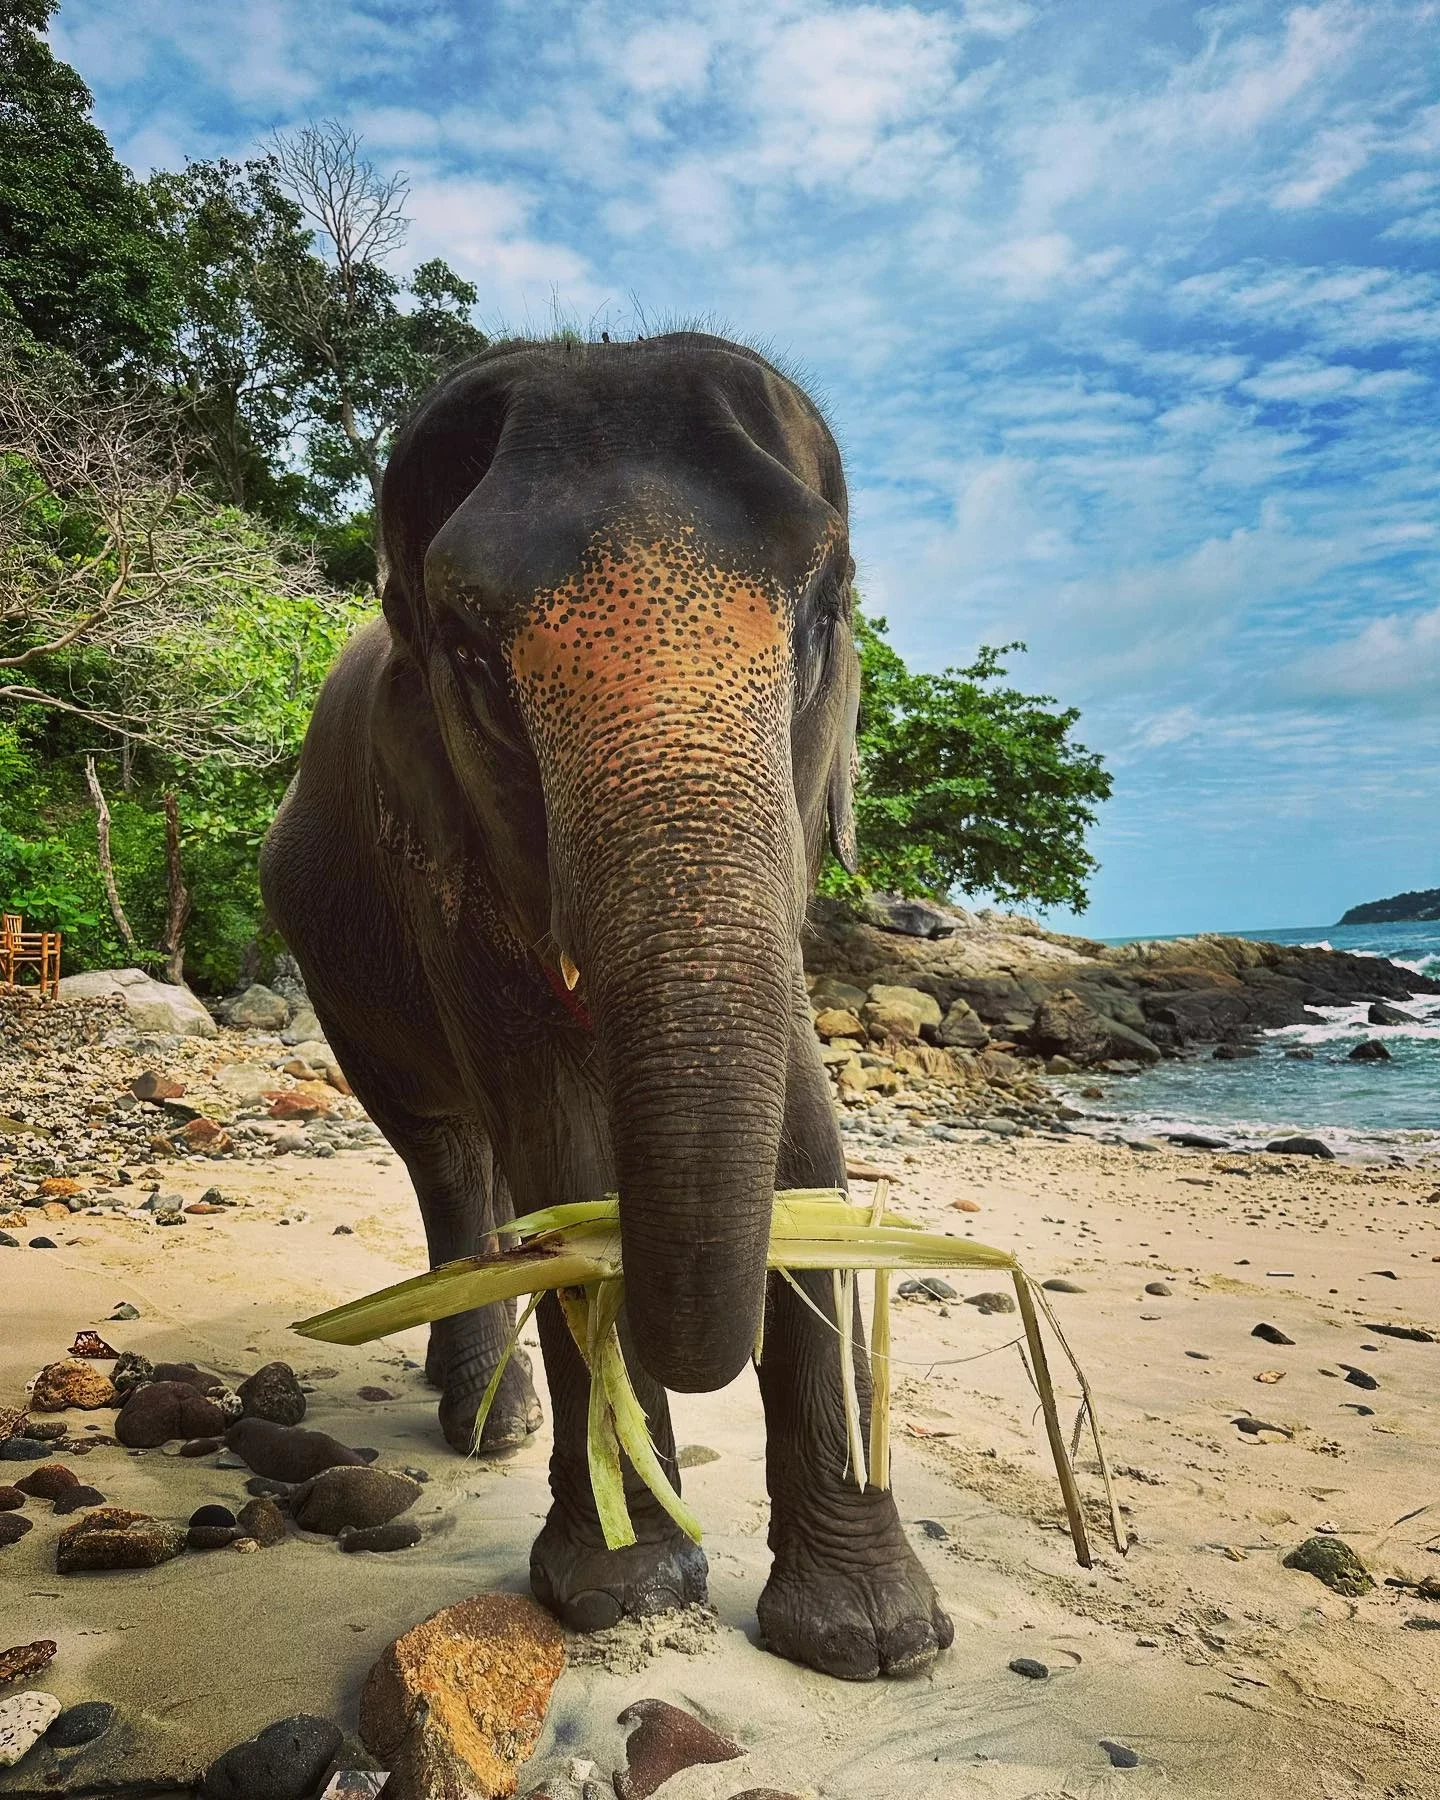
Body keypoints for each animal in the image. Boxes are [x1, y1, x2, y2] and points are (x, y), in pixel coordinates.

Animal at [259, 331, 957, 1677]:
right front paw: (623, 1592)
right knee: (446, 1153)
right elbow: (562, 1147)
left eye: (825, 612)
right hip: (338, 977)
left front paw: (874, 1640)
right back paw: (488, 1423)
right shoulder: (441, 865)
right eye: (474, 661)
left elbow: (805, 1142)